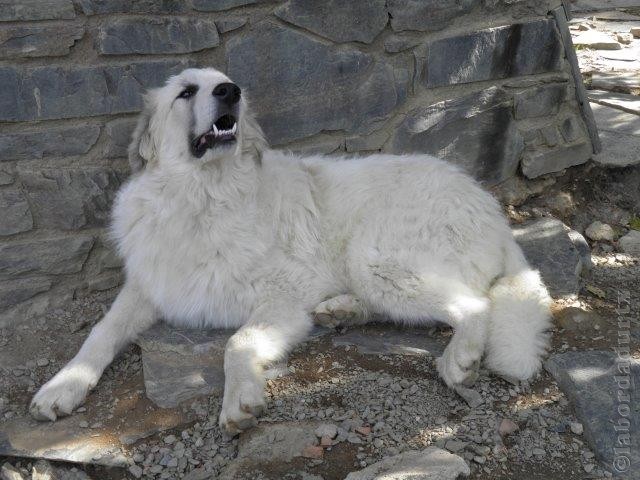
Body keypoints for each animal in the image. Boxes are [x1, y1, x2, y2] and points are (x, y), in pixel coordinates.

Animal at [31, 66, 552, 432]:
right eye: (186, 92)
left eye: (223, 83)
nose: (231, 92)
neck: (204, 198)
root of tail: (490, 207)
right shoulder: (148, 285)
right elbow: (100, 333)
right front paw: (62, 387)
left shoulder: (282, 296)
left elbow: (237, 342)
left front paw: (239, 400)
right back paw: (343, 311)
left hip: (375, 259)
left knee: (474, 303)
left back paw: (458, 359)